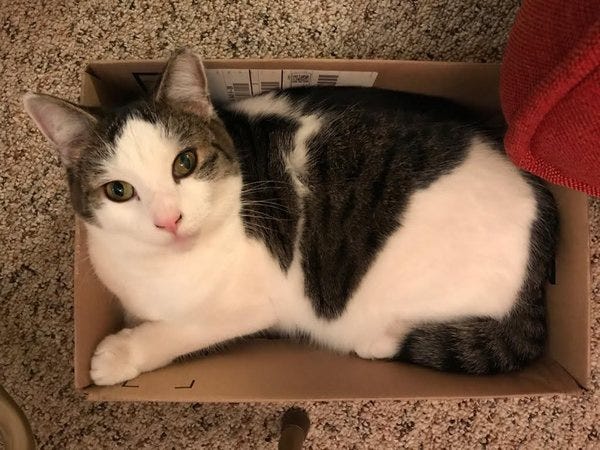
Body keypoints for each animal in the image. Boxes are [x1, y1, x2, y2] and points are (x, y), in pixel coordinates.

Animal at [23, 50, 556, 386]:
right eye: (119, 191)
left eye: (185, 163)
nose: (169, 219)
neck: (165, 269)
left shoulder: (255, 305)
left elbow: (186, 329)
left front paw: (121, 355)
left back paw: (378, 340)